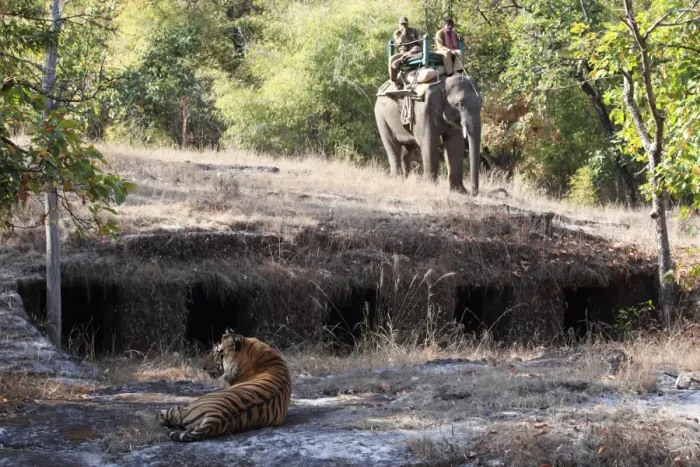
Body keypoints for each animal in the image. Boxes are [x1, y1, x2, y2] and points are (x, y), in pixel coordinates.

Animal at [135, 329, 292, 442]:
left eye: (216, 353)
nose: (203, 367)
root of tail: (215, 418)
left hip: (185, 406)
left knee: (159, 418)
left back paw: (139, 414)